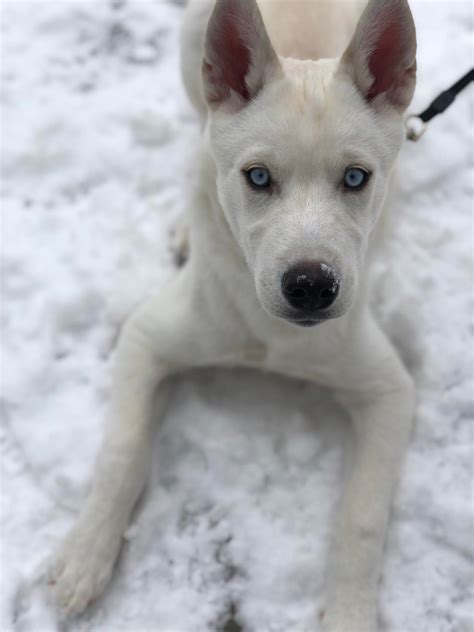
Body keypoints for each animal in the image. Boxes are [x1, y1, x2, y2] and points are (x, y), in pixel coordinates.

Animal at [50, 2, 416, 628]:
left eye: (355, 178)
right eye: (258, 177)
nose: (311, 287)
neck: (268, 335)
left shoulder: (389, 390)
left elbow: (362, 517)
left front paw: (348, 613)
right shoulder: (147, 337)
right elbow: (123, 450)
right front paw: (85, 555)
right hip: (190, 54)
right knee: (198, 131)